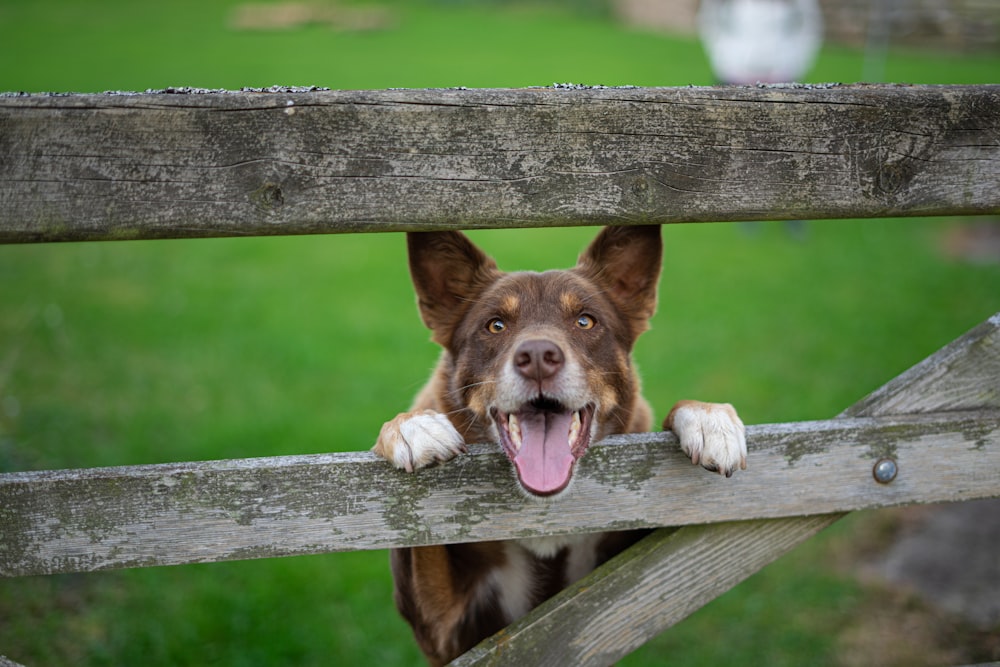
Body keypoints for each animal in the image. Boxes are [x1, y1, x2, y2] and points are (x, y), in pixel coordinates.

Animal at [372, 227, 748, 664]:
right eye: (495, 325)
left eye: (585, 321)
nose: (537, 356)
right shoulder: (443, 630)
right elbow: (422, 548)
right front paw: (412, 426)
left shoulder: (639, 564)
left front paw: (708, 419)